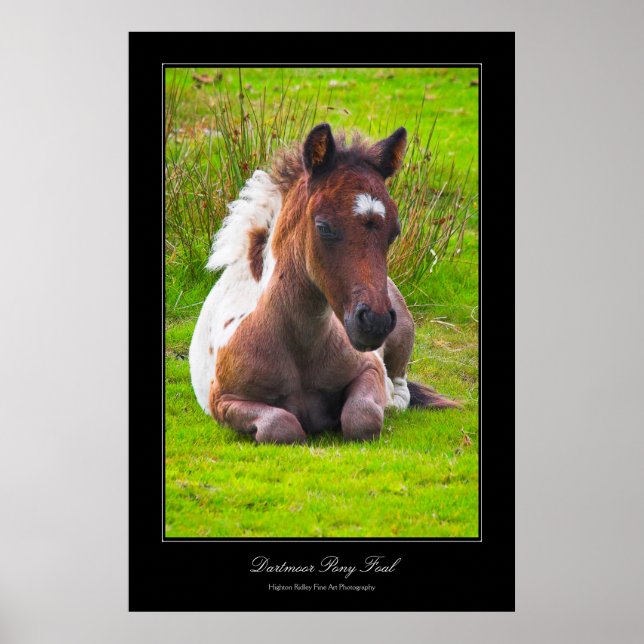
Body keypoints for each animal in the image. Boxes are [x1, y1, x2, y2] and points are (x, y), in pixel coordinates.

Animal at [189, 123, 459, 444]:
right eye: (324, 227)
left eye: (394, 232)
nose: (375, 321)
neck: (298, 347)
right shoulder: (224, 401)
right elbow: (281, 426)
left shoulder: (369, 368)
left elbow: (362, 417)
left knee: (400, 388)